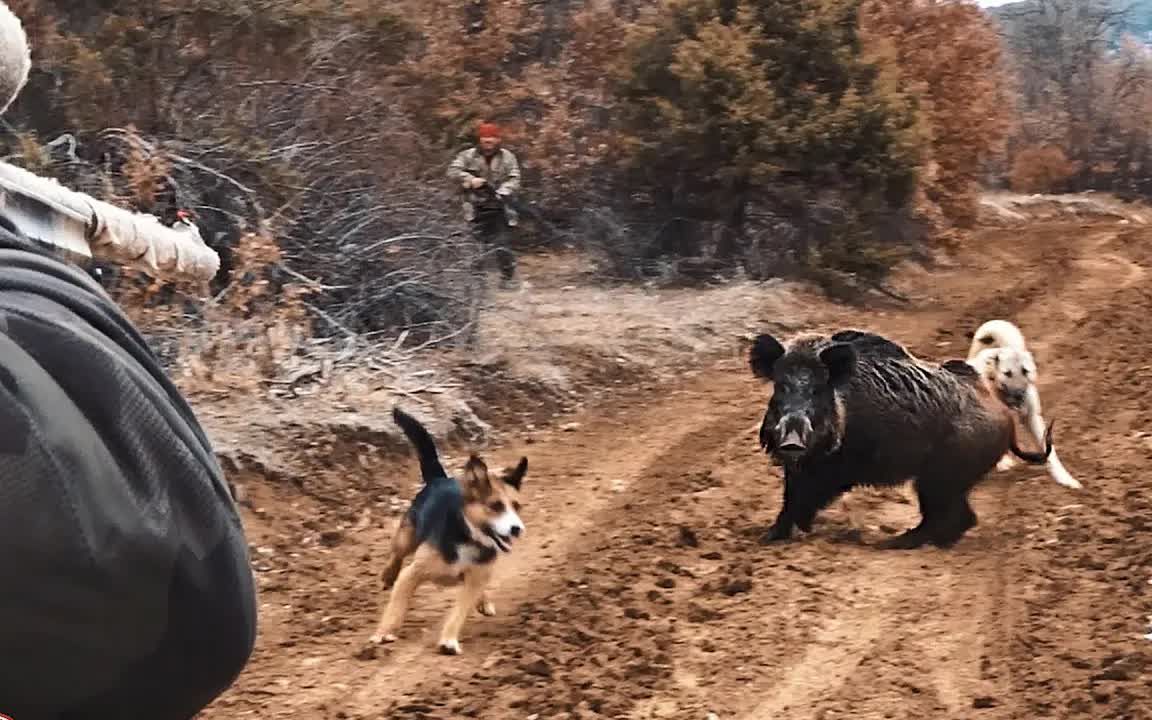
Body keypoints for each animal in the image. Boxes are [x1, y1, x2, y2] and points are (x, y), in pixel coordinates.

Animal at [967, 320, 1082, 488]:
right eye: (1007, 373)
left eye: (1025, 371)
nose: (1019, 396)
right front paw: (1002, 462)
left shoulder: (1033, 420)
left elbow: (1051, 453)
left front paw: (1065, 478)